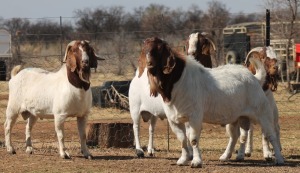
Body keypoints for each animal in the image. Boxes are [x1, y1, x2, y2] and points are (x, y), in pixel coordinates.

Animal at [145, 36, 284, 168]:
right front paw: (183, 160)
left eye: (159, 49)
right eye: (146, 49)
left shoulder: (195, 117)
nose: (149, 63)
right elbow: (182, 139)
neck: (179, 79)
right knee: (235, 136)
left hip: (263, 113)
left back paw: (279, 159)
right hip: (237, 117)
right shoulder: (173, 119)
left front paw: (196, 162)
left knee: (271, 134)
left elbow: (193, 139)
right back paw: (225, 156)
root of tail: (255, 78)